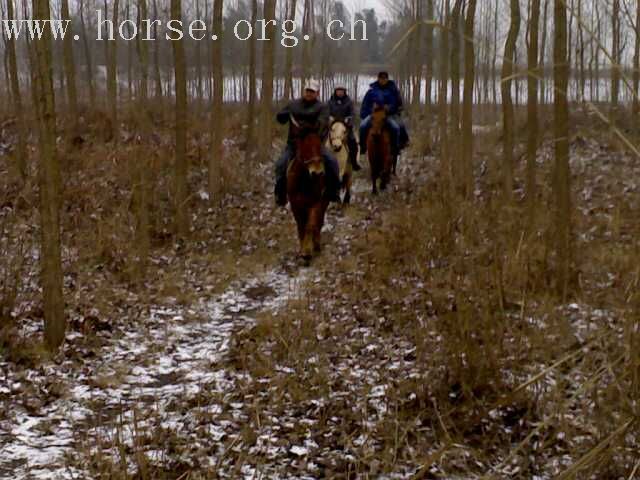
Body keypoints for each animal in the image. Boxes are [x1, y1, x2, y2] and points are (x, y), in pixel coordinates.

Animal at [288, 125, 330, 262]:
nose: (317, 173)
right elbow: (300, 225)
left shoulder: (315, 202)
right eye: (305, 147)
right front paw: (302, 250)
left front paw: (307, 251)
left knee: (319, 221)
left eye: (319, 146)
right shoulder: (295, 204)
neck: (304, 181)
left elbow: (310, 224)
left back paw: (316, 244)